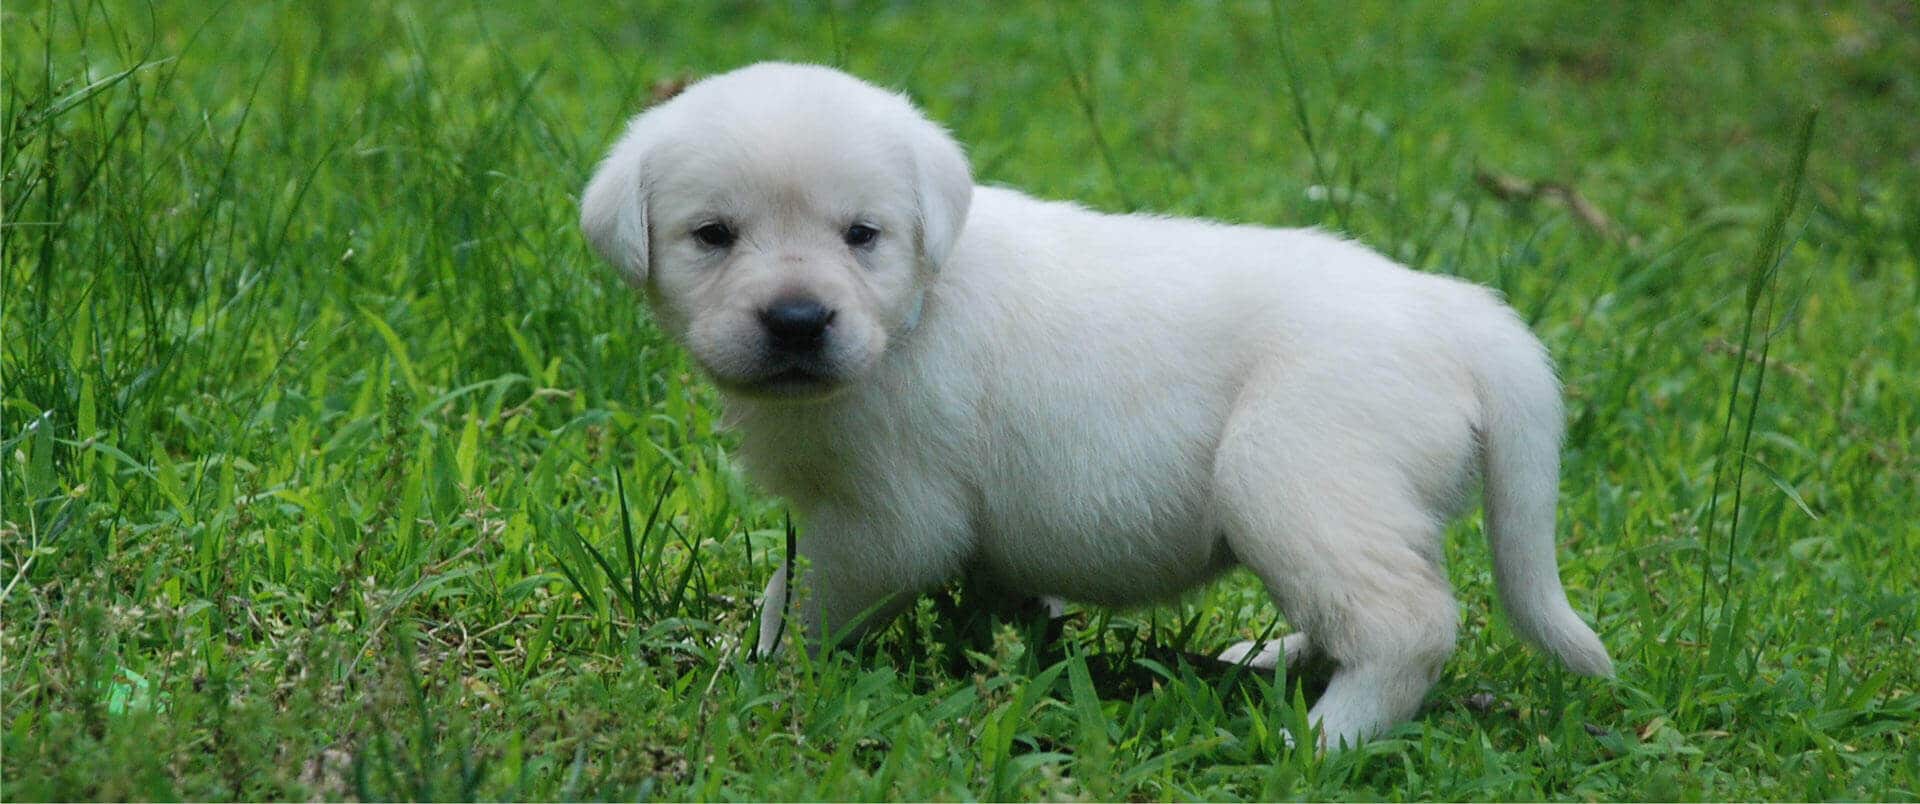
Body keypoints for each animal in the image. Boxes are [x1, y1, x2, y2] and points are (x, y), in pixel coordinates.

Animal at [576, 62, 1612, 748]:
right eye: (713, 235)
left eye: (862, 235)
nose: (797, 320)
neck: (914, 309)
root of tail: (1462, 314)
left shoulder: (885, 518)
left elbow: (806, 598)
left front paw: (766, 674)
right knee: (1348, 606)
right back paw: (1268, 660)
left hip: (1294, 472)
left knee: (1406, 624)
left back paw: (1320, 739)